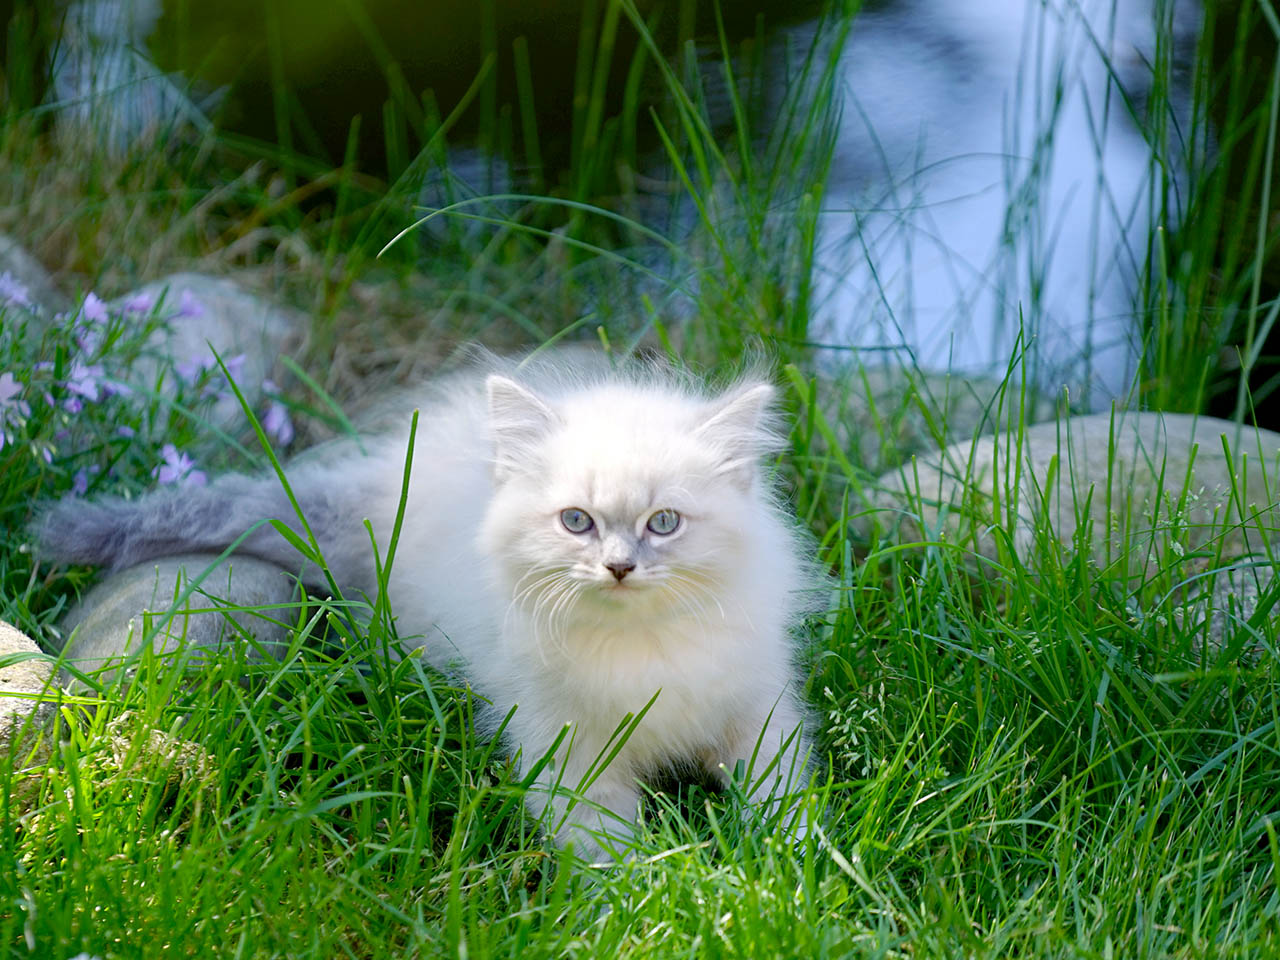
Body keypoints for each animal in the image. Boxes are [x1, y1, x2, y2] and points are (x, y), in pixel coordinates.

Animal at [33, 355, 820, 859]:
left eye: (664, 523)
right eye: (577, 522)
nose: (620, 567)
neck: (640, 647)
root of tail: (378, 486)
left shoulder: (758, 710)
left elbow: (784, 795)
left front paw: (798, 866)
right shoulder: (564, 749)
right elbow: (606, 845)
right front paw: (637, 899)